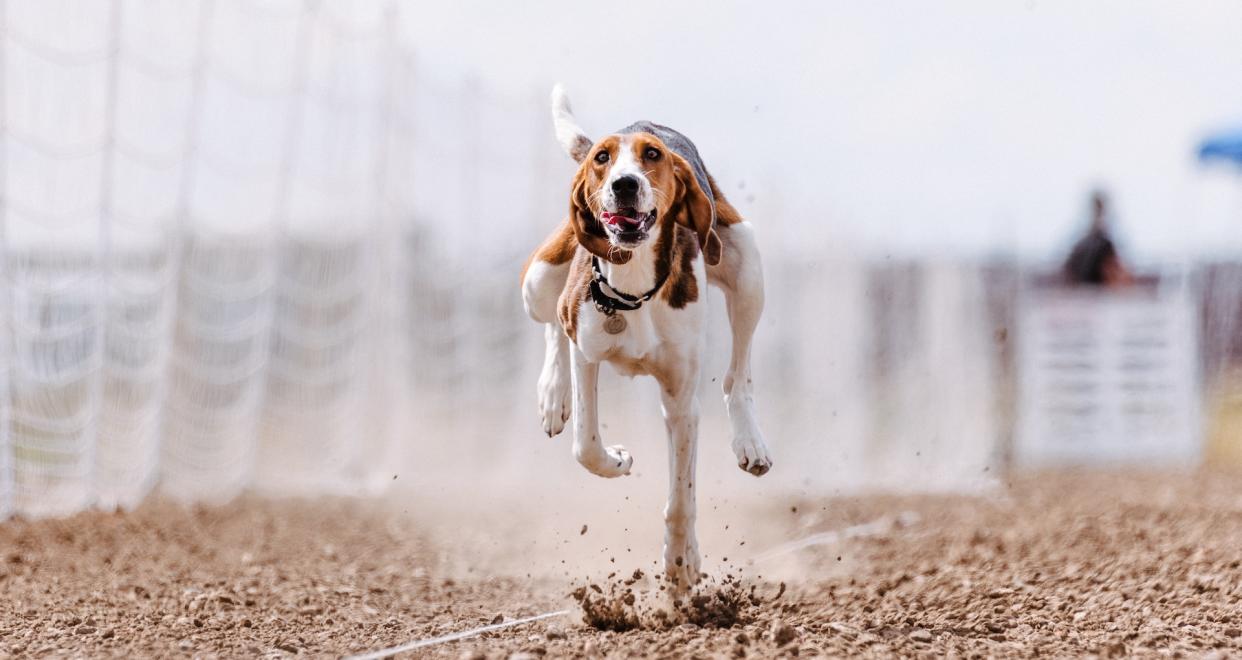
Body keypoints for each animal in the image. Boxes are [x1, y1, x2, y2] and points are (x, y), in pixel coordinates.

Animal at [514, 86, 765, 589]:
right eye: (602, 158)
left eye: (652, 156)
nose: (624, 184)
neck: (632, 288)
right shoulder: (587, 352)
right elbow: (586, 445)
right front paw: (615, 459)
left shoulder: (681, 400)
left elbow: (681, 499)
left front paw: (682, 565)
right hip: (540, 278)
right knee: (553, 321)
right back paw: (552, 395)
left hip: (747, 260)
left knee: (737, 377)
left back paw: (750, 441)